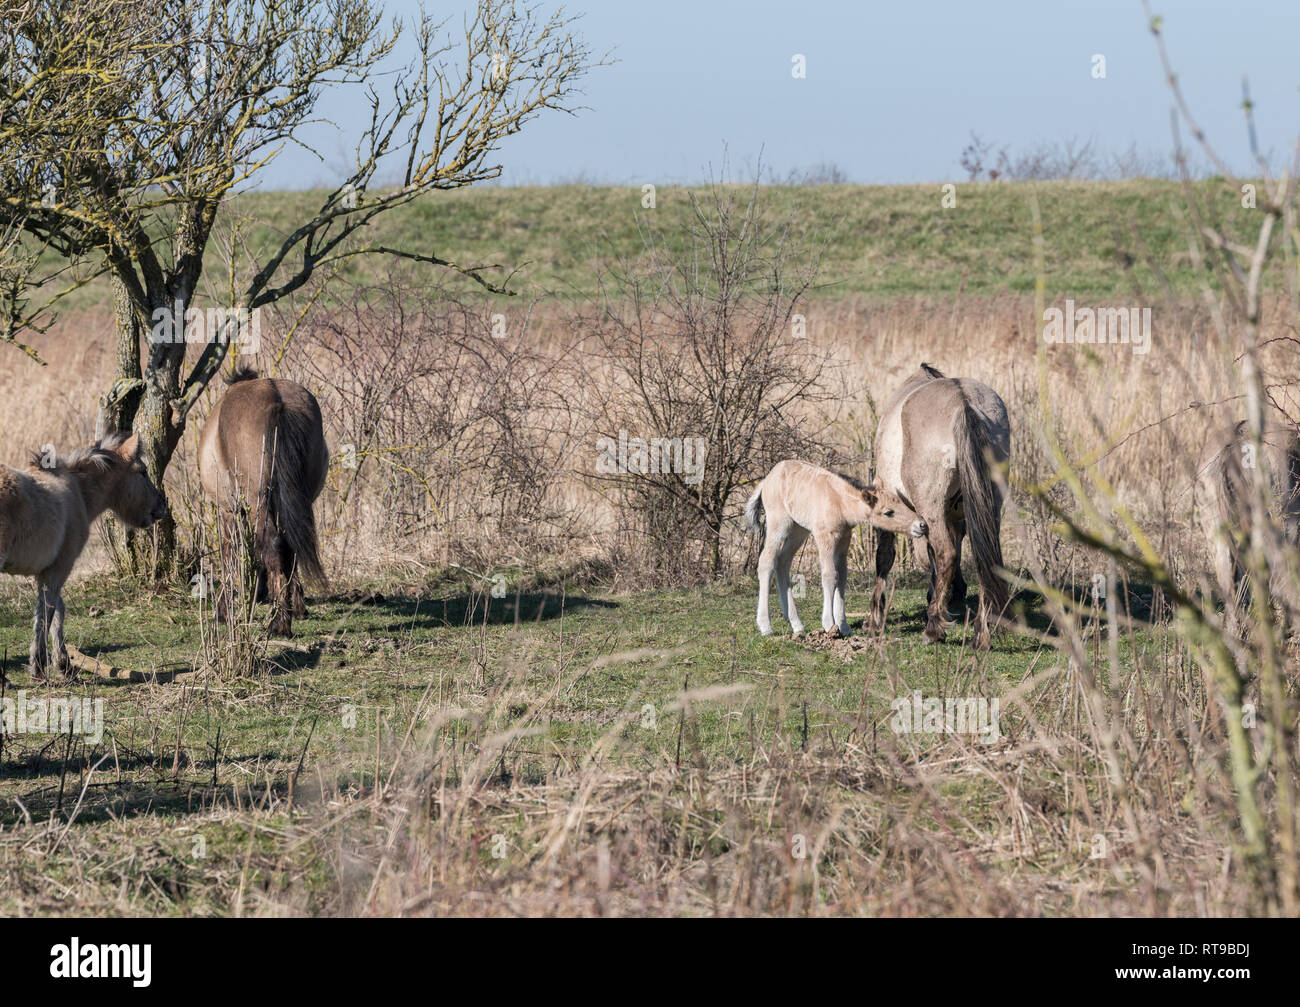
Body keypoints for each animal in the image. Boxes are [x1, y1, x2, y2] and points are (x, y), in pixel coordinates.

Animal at [0, 431, 165, 677]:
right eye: (143, 471)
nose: (162, 507)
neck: (78, 491)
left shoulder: (49, 570)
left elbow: (57, 610)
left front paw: (63, 663)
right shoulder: (60, 567)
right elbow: (47, 614)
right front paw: (39, 667)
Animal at [198, 368, 329, 637]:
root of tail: (278, 400)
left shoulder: (229, 510)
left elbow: (230, 555)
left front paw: (223, 611)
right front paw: (297, 607)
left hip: (257, 504)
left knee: (273, 548)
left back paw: (279, 624)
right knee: (290, 547)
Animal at [745, 459, 928, 638]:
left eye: (902, 502)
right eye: (888, 512)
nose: (922, 525)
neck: (840, 503)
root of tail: (766, 481)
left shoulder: (844, 541)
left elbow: (842, 577)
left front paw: (844, 626)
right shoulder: (825, 538)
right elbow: (829, 576)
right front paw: (829, 624)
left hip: (799, 529)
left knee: (783, 562)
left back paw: (796, 624)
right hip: (778, 524)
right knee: (766, 562)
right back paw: (765, 626)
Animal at [869, 364, 1010, 648]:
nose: (957, 594)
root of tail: (965, 402)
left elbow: (885, 556)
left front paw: (876, 617)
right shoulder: (956, 517)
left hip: (932, 507)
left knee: (946, 554)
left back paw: (933, 628)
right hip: (989, 507)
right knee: (983, 558)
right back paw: (980, 632)